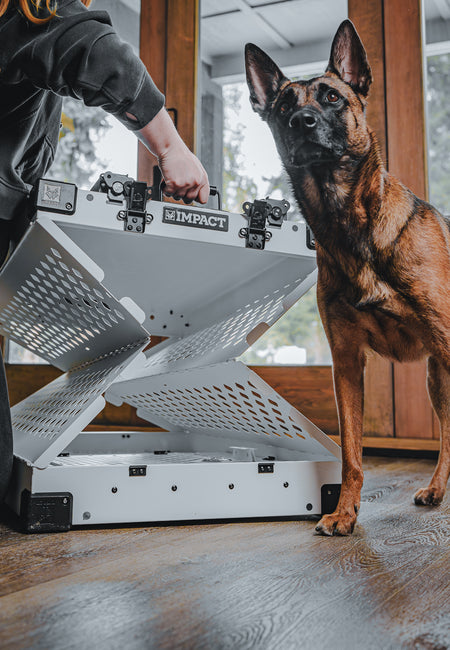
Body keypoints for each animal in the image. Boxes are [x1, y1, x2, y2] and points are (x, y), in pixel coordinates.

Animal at [244, 21, 450, 536]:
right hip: (437, 380)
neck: (348, 222)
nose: (302, 122)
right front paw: (345, 512)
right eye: (283, 106)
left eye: (332, 97)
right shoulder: (346, 363)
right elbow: (352, 454)